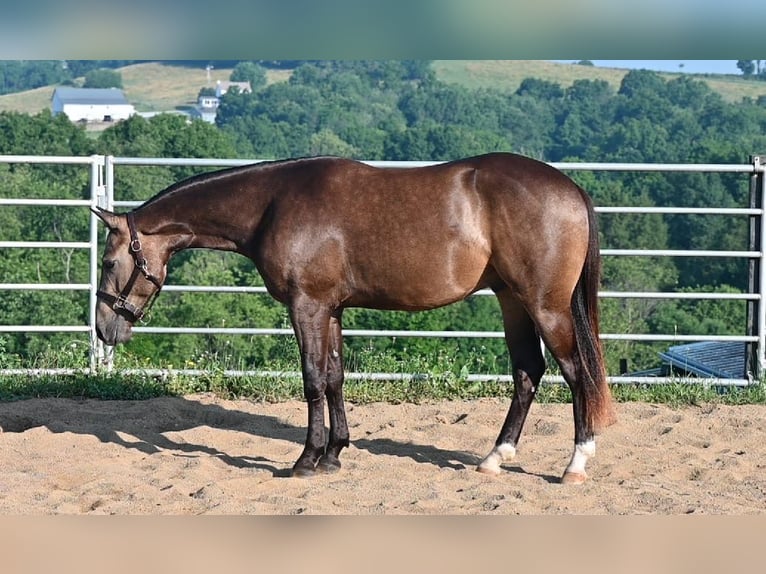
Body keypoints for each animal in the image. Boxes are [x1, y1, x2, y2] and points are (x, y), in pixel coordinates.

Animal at [93, 152, 615, 484]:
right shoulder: (332, 309)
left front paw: (306, 460)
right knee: (528, 372)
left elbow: (312, 380)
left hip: (544, 305)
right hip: (511, 300)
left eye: (108, 262)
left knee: (575, 373)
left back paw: (575, 464)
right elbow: (335, 378)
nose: (104, 328)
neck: (271, 205)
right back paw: (494, 458)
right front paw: (334, 454)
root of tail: (570, 188)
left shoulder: (307, 306)